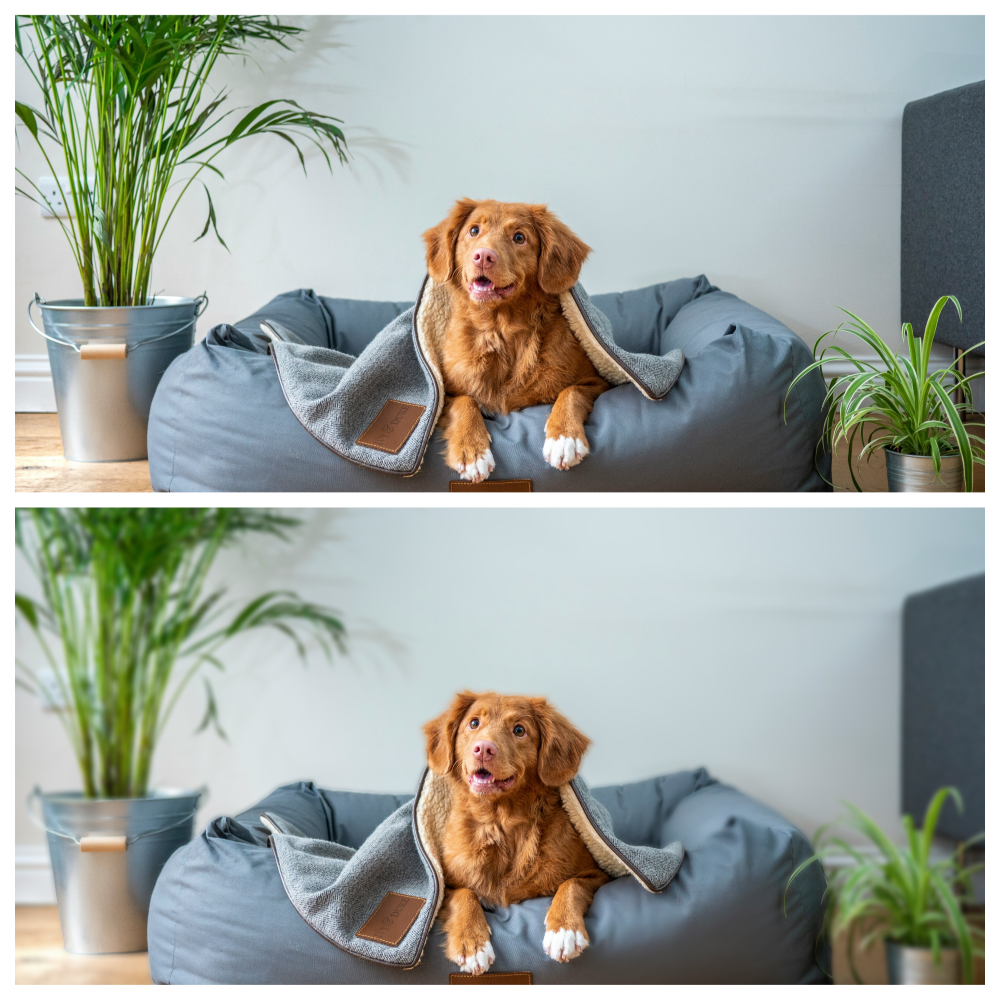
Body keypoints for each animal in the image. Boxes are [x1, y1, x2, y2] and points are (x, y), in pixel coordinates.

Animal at [422, 198, 608, 480]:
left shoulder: (597, 382)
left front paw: (564, 438)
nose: (483, 256)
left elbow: (571, 391)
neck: (500, 330)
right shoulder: (445, 393)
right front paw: (472, 450)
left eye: (519, 237)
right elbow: (465, 402)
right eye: (474, 231)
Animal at [422, 692, 608, 972]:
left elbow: (571, 884)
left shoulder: (598, 875)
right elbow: (465, 894)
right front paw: (472, 943)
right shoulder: (445, 886)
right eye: (474, 723)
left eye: (519, 730)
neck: (500, 822)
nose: (483, 749)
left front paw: (564, 931)